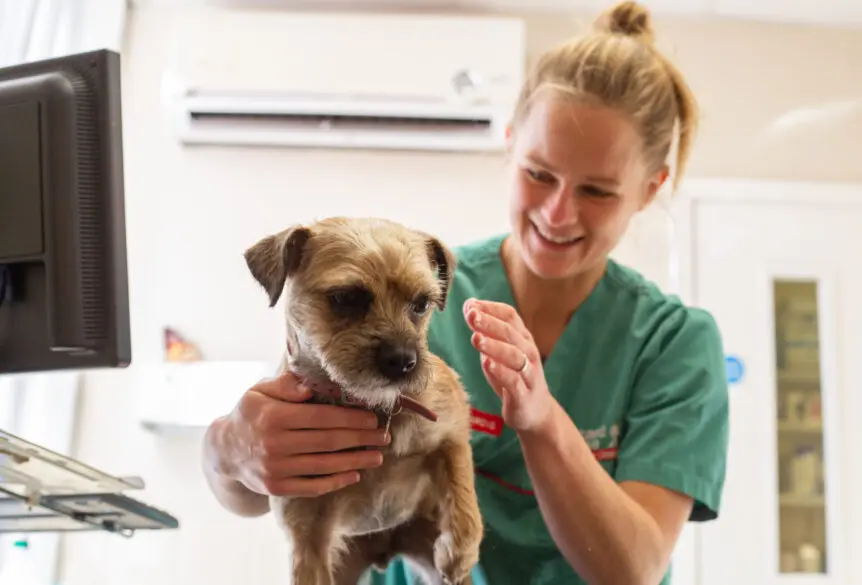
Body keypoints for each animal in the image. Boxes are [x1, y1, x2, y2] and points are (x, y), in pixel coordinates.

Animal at [243, 217, 486, 584]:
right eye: (346, 298)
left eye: (421, 304)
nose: (403, 361)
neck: (374, 407)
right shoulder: (308, 539)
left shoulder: (452, 430)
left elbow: (463, 492)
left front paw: (458, 553)